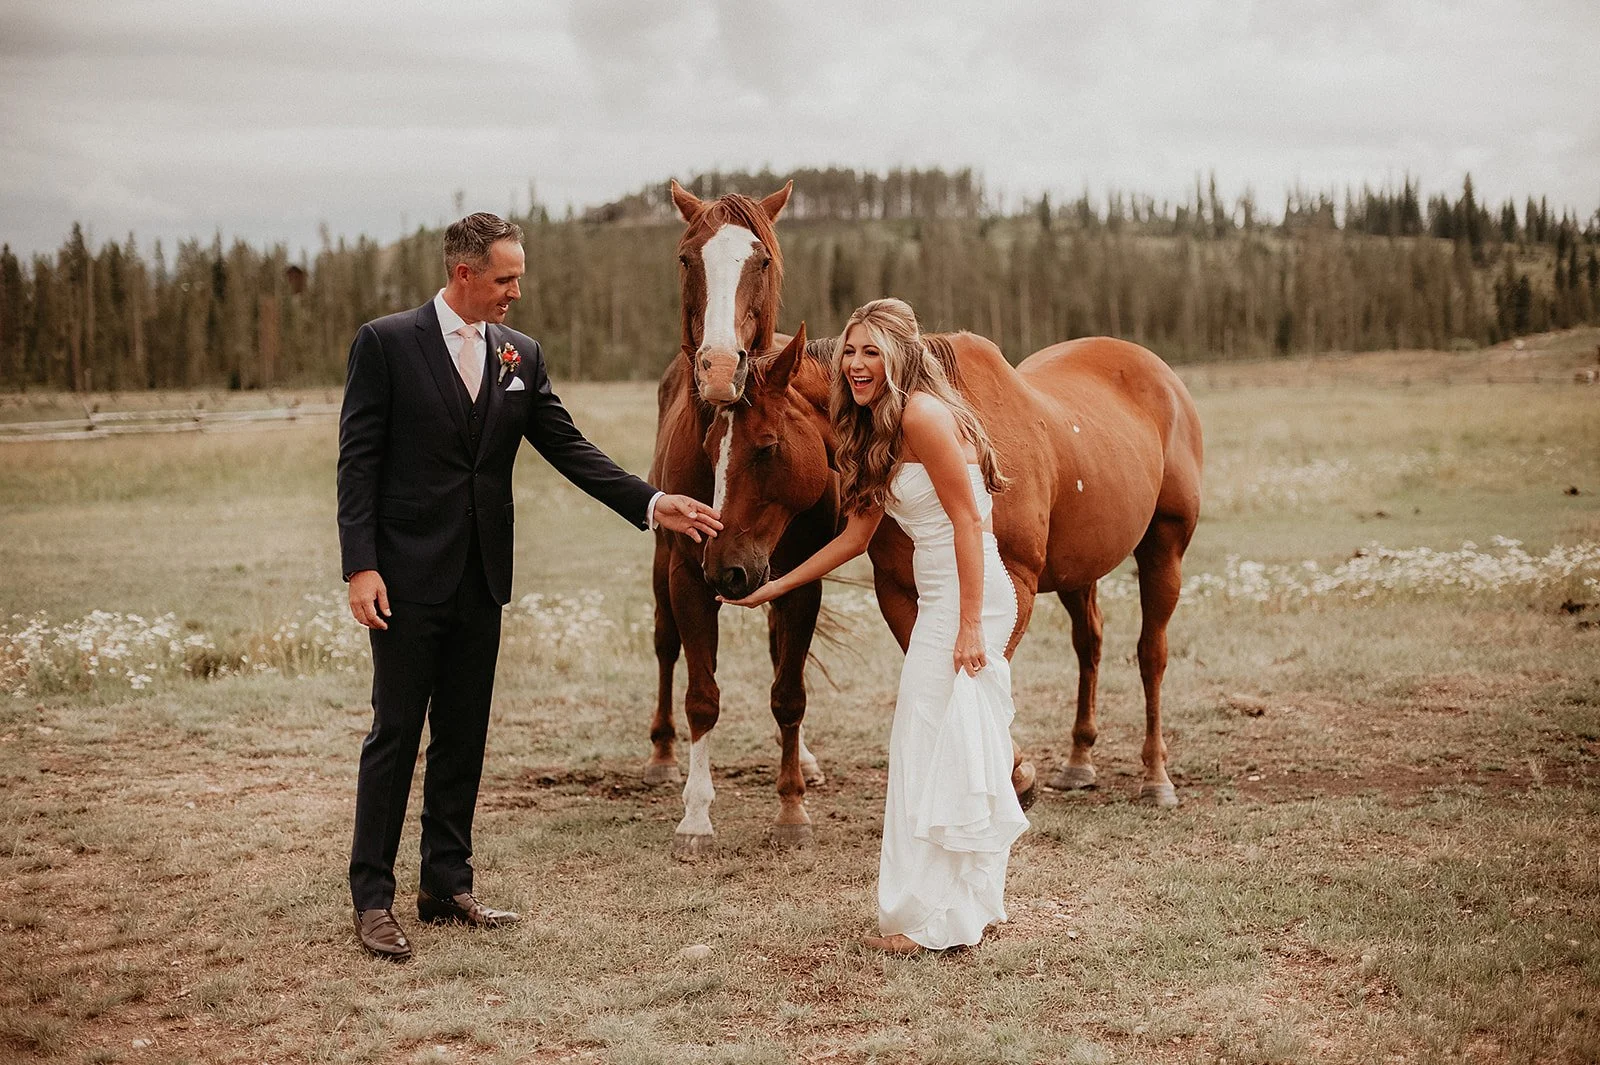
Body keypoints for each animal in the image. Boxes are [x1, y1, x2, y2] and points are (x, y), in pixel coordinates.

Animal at [646, 180, 836, 857]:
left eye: (763, 260)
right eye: (685, 259)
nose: (721, 369)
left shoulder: (803, 580)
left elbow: (789, 692)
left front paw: (792, 809)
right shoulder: (688, 572)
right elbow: (702, 695)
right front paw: (696, 817)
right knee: (665, 646)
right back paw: (661, 755)